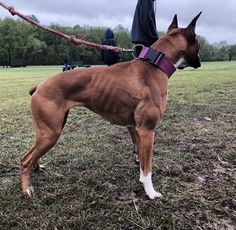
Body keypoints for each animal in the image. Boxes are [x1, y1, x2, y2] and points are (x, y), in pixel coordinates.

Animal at [21, 13, 201, 199]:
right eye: (199, 44)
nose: (200, 61)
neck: (155, 64)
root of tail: (40, 85)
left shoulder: (135, 129)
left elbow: (141, 161)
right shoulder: (147, 131)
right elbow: (147, 169)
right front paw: (150, 192)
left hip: (47, 131)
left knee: (31, 153)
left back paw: (37, 167)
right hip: (51, 134)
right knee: (25, 159)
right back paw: (27, 187)